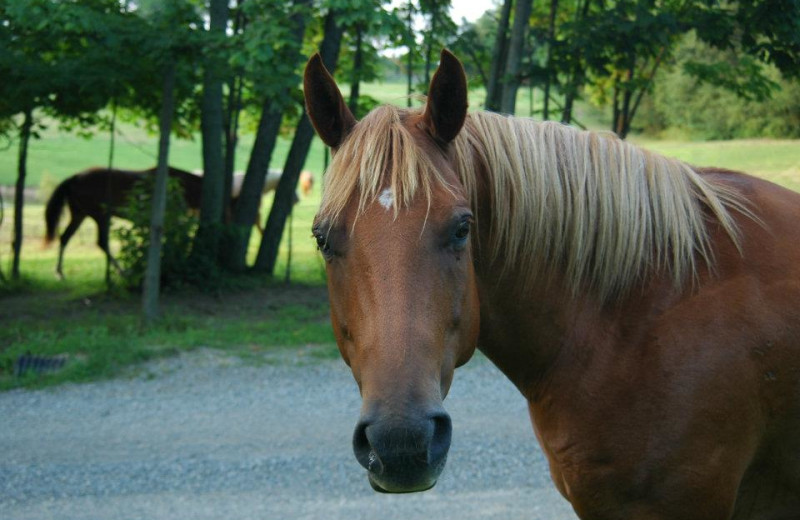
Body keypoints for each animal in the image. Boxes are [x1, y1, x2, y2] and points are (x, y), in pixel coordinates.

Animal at [44, 168, 205, 280]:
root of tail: (74, 177)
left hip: (79, 215)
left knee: (65, 238)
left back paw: (59, 272)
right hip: (101, 216)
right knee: (102, 242)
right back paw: (123, 272)